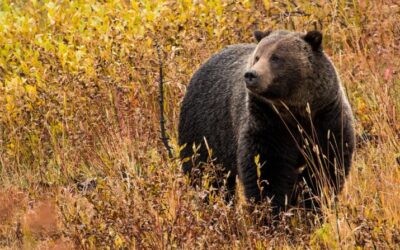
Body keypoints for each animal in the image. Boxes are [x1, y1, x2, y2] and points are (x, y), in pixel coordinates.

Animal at [180, 30, 354, 212]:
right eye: (257, 57)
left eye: (276, 57)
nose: (251, 75)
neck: (295, 113)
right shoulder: (267, 124)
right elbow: (266, 171)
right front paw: (271, 209)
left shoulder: (327, 120)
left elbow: (325, 168)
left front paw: (312, 205)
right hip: (205, 132)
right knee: (207, 175)